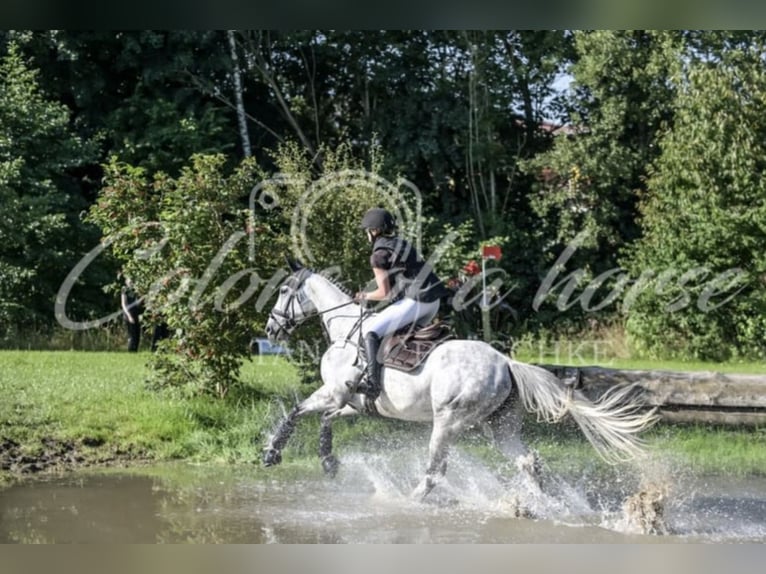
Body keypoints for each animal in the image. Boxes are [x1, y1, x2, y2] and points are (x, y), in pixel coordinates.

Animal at [262, 262, 658, 502]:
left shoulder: (334, 393)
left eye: (282, 291)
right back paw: (541, 503)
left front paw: (271, 453)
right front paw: (328, 462)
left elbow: (298, 411)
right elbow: (324, 420)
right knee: (527, 461)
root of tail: (506, 363)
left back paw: (409, 501)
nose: (270, 329)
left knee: (436, 471)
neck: (345, 331)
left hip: (449, 421)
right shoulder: (353, 403)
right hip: (500, 426)